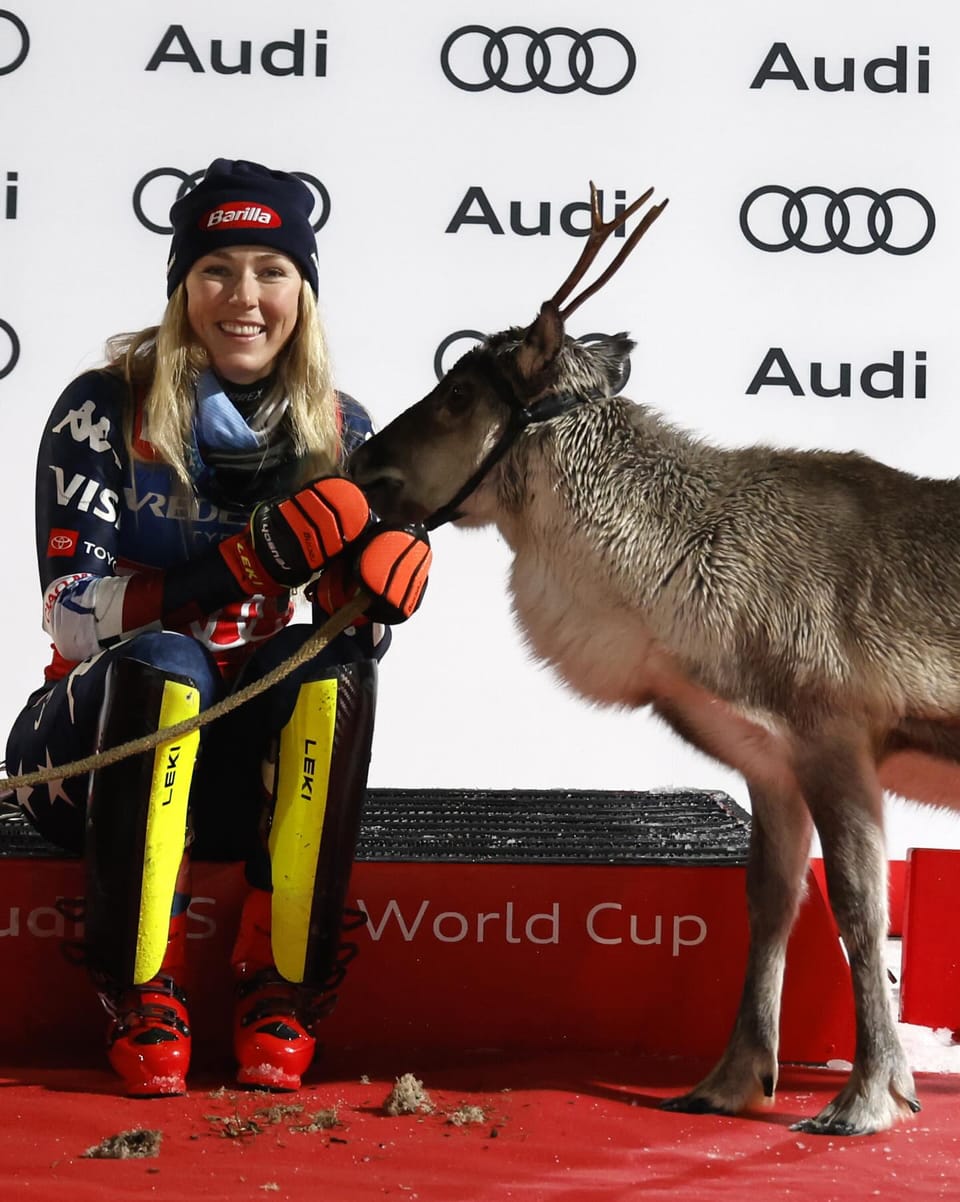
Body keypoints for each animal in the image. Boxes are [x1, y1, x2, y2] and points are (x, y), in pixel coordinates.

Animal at [348, 182, 960, 1136]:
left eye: (455, 391)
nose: (362, 457)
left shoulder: (835, 734)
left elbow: (862, 913)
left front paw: (867, 1097)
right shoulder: (766, 758)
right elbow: (770, 905)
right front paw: (732, 1080)